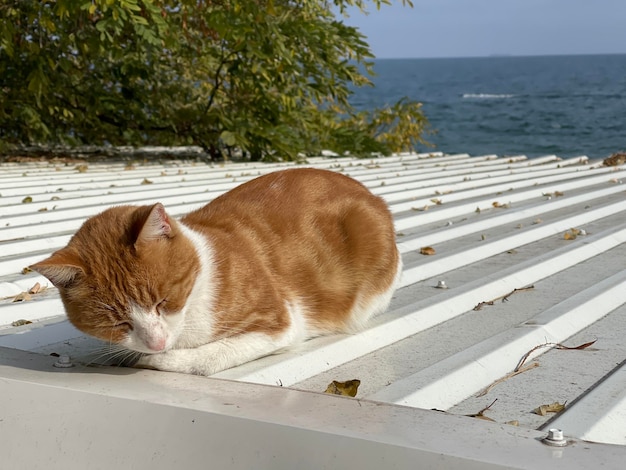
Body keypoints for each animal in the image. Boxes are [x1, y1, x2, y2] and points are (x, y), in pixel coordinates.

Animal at [30, 167, 400, 376]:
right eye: (117, 322)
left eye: (164, 301)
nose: (157, 342)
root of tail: (372, 196)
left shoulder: (280, 323)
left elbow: (208, 357)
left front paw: (154, 361)